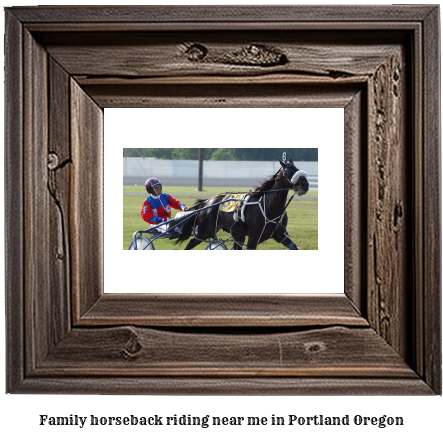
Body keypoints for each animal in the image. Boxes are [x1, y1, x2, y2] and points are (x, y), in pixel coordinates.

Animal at [175, 157, 310, 250]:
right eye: (288, 172)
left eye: (297, 169)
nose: (305, 184)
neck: (270, 207)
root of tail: (208, 202)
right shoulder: (253, 238)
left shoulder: (280, 234)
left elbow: (293, 246)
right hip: (205, 231)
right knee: (190, 244)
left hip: (237, 234)